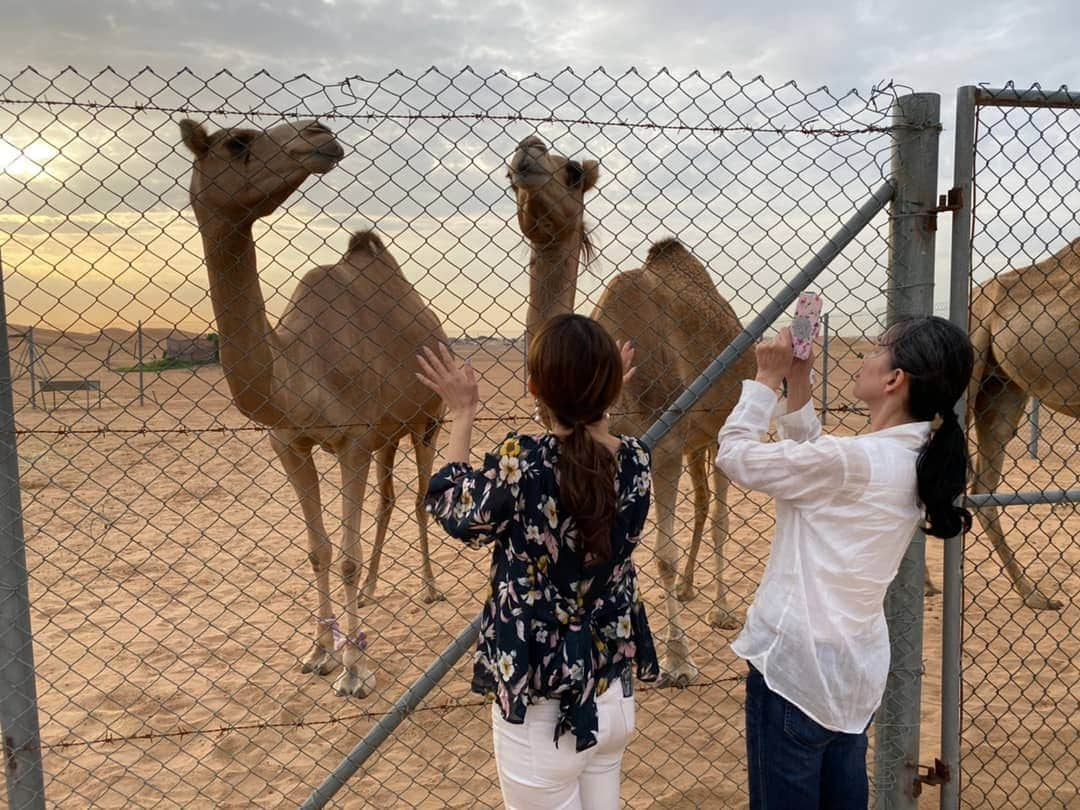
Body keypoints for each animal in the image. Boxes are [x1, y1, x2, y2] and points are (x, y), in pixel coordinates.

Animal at [180, 120, 447, 699]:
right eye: (238, 142)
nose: (320, 132)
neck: (298, 367)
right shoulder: (289, 442)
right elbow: (319, 551)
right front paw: (318, 652)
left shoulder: (353, 439)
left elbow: (344, 557)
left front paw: (354, 671)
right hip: (390, 432)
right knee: (389, 499)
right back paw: (372, 590)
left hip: (428, 420)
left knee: (419, 497)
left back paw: (429, 587)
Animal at [507, 135, 756, 686]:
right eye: (509, 178)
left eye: (573, 172)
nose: (527, 149)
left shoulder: (661, 443)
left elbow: (660, 554)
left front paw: (679, 662)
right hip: (697, 438)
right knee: (702, 503)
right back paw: (690, 588)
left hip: (722, 427)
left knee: (721, 512)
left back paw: (722, 609)